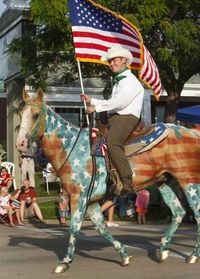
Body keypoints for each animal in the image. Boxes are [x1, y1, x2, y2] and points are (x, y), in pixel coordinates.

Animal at [16, 89, 200, 274]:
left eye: (35, 115)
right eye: (20, 113)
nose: (20, 144)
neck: (70, 147)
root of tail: (192, 133)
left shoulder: (78, 197)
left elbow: (74, 228)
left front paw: (65, 262)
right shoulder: (91, 201)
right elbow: (101, 228)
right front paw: (124, 255)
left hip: (188, 180)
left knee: (196, 213)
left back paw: (193, 255)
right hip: (164, 182)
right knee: (179, 212)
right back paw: (163, 250)